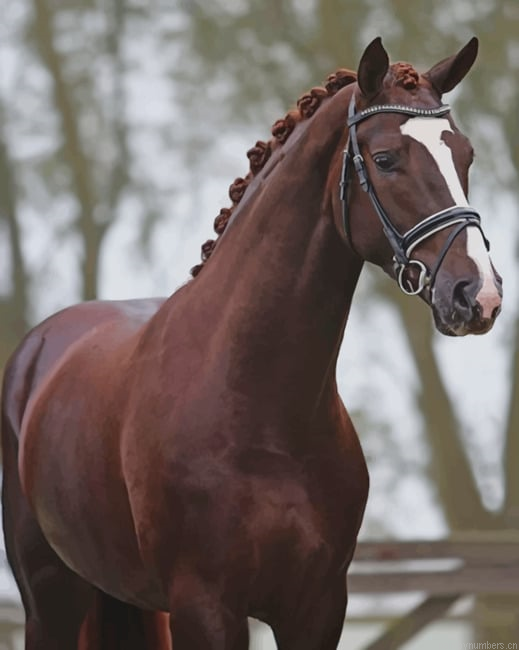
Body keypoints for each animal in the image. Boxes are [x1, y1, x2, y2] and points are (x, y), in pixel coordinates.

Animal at [1, 37, 502, 649]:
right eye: (386, 159)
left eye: (466, 156)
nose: (478, 294)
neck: (257, 406)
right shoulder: (206, 608)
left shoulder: (317, 608)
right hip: (51, 600)